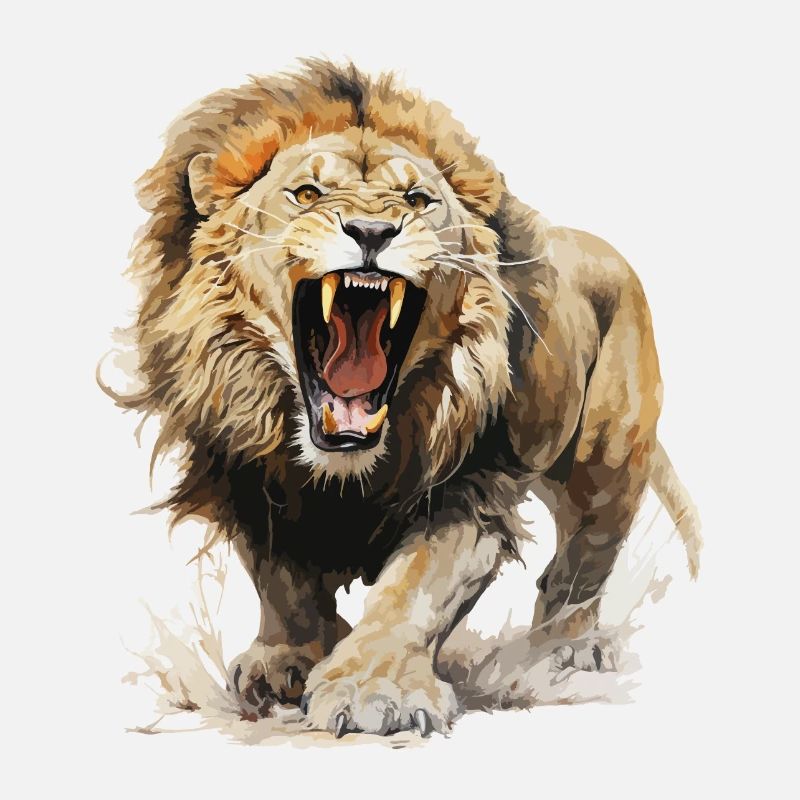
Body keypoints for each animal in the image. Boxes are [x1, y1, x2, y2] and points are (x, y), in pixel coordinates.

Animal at [106, 59, 701, 738]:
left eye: (417, 201)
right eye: (305, 194)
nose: (371, 230)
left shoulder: (468, 487)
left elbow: (413, 587)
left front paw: (372, 687)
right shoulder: (247, 476)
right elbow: (281, 581)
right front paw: (289, 661)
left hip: (608, 462)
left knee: (582, 565)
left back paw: (562, 650)